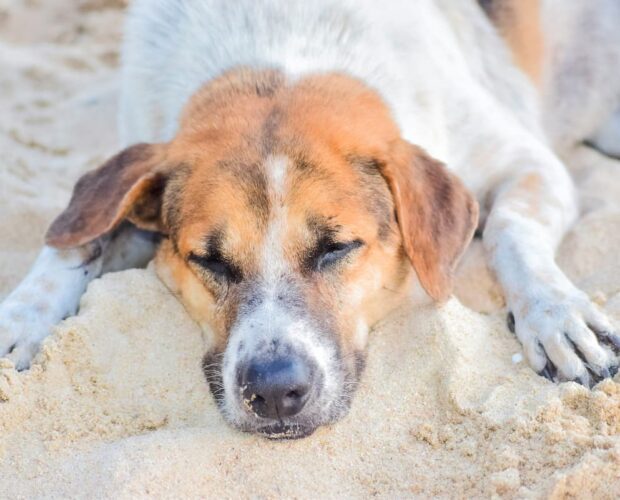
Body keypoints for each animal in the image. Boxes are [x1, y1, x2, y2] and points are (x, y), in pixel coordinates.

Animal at [1, 0, 620, 438]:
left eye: (336, 247)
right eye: (209, 260)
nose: (274, 393)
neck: (282, 50)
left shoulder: (528, 162)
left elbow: (512, 227)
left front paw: (557, 314)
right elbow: (74, 240)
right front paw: (20, 318)